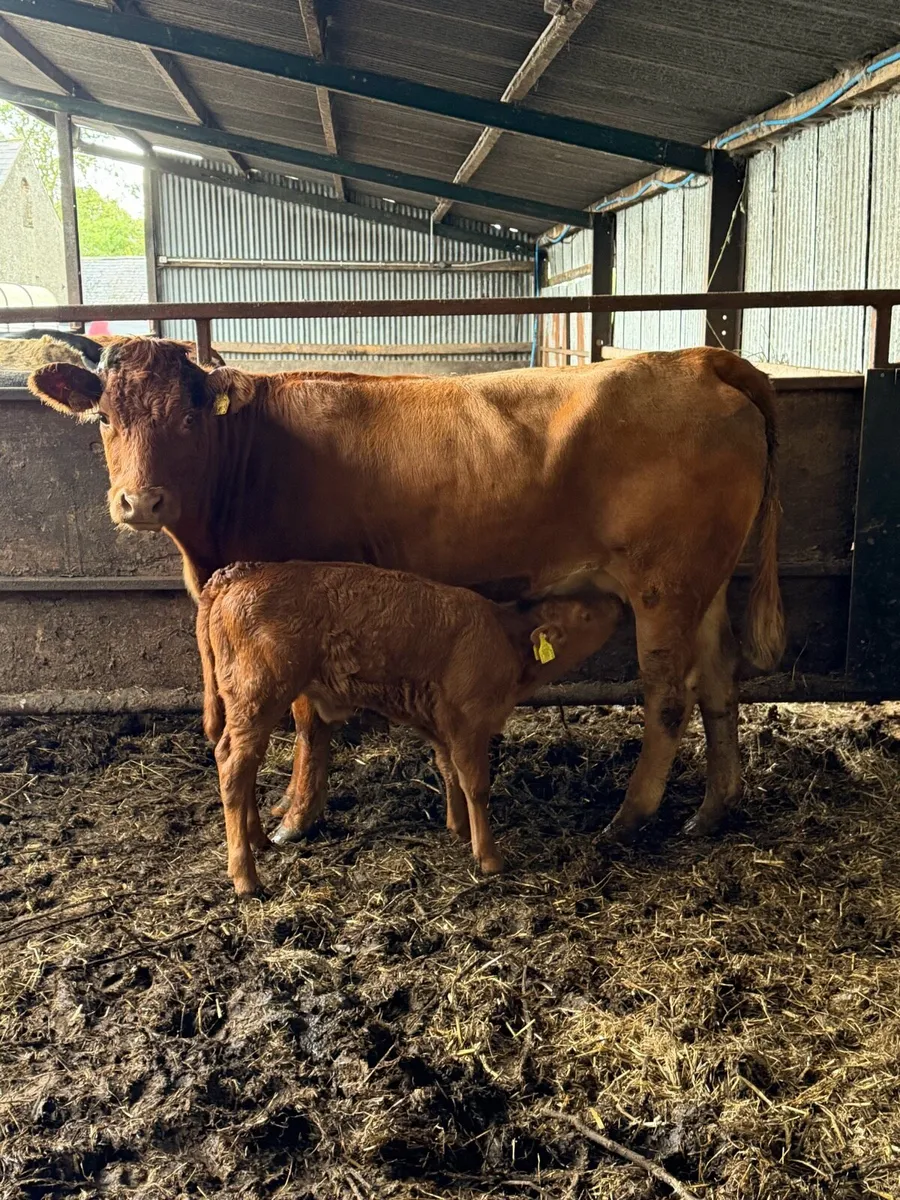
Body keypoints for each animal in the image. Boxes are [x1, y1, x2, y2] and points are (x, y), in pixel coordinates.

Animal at [28, 338, 784, 850]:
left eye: (187, 420)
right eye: (104, 418)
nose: (140, 501)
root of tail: (693, 358)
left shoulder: (299, 602)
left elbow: (308, 719)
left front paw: (297, 817)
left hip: (663, 584)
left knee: (668, 695)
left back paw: (628, 818)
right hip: (705, 582)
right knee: (718, 680)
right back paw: (713, 809)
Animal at [197, 560, 625, 894]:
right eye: (586, 616)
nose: (619, 602)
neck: (503, 637)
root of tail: (241, 572)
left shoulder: (441, 721)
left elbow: (449, 770)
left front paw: (458, 828)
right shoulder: (470, 721)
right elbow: (476, 785)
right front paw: (488, 857)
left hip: (244, 704)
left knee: (242, 764)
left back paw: (259, 840)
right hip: (257, 696)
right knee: (233, 768)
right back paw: (246, 877)